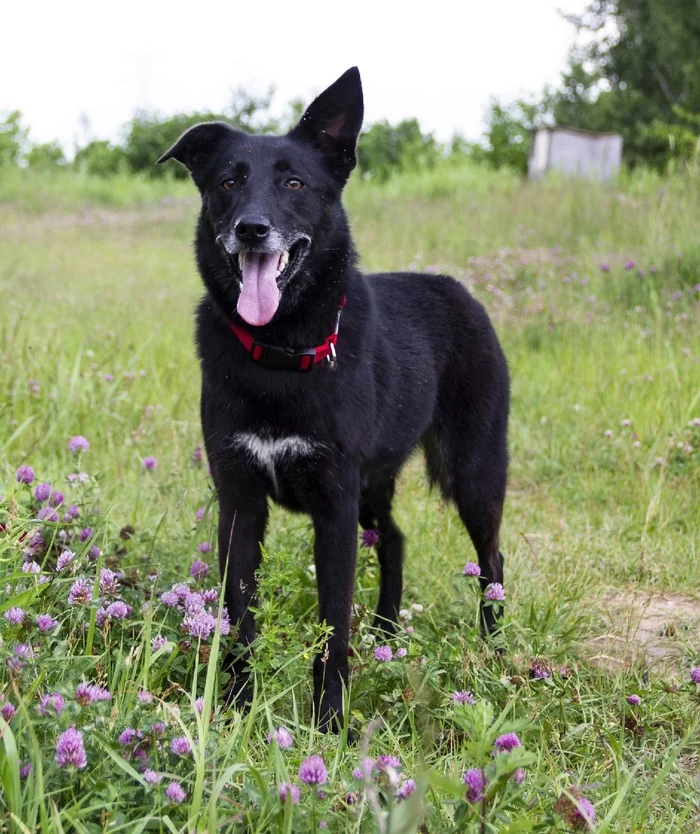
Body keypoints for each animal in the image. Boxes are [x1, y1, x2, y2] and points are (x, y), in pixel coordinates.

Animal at [159, 68, 508, 724]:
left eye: (294, 182)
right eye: (227, 182)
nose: (251, 229)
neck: (280, 351)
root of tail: (460, 291)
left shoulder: (335, 507)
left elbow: (333, 627)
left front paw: (330, 724)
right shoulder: (240, 503)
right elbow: (238, 621)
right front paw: (236, 711)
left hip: (472, 474)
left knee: (493, 562)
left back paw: (497, 652)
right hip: (376, 483)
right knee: (395, 538)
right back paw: (388, 632)